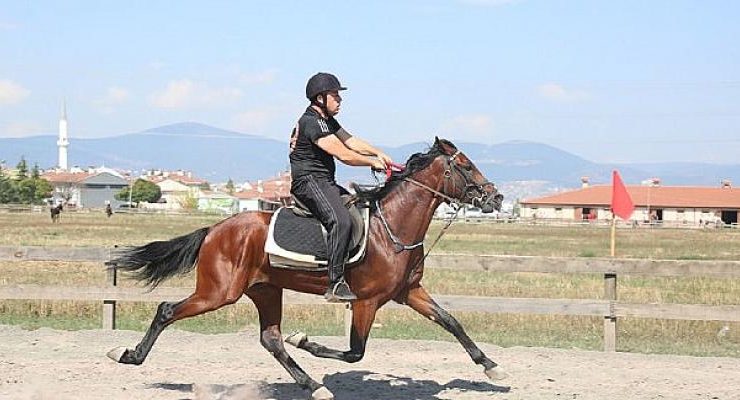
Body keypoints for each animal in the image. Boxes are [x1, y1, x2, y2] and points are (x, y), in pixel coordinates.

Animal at [107, 138, 506, 400]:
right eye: (465, 165)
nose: (496, 197)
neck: (392, 228)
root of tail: (215, 229)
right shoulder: (366, 301)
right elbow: (355, 352)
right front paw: (306, 341)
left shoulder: (408, 293)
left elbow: (451, 321)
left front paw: (491, 366)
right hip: (218, 292)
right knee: (167, 310)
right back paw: (127, 354)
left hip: (265, 290)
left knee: (270, 339)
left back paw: (312, 385)